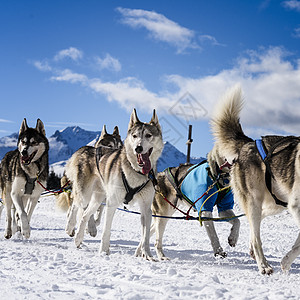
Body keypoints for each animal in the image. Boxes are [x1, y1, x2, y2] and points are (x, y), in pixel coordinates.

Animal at [68, 109, 163, 258]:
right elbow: (106, 231)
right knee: (76, 205)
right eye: (135, 136)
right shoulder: (112, 203)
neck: (136, 171)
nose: (138, 148)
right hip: (85, 194)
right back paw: (71, 227)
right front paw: (103, 252)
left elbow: (146, 236)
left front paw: (147, 254)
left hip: (98, 198)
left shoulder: (146, 209)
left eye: (148, 135)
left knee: (85, 215)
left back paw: (79, 238)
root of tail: (87, 149)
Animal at [211, 85, 300, 276]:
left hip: (276, 203)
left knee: (254, 224)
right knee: (256, 234)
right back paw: (263, 265)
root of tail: (249, 143)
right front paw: (285, 262)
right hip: (255, 200)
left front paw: (286, 261)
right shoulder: (297, 206)